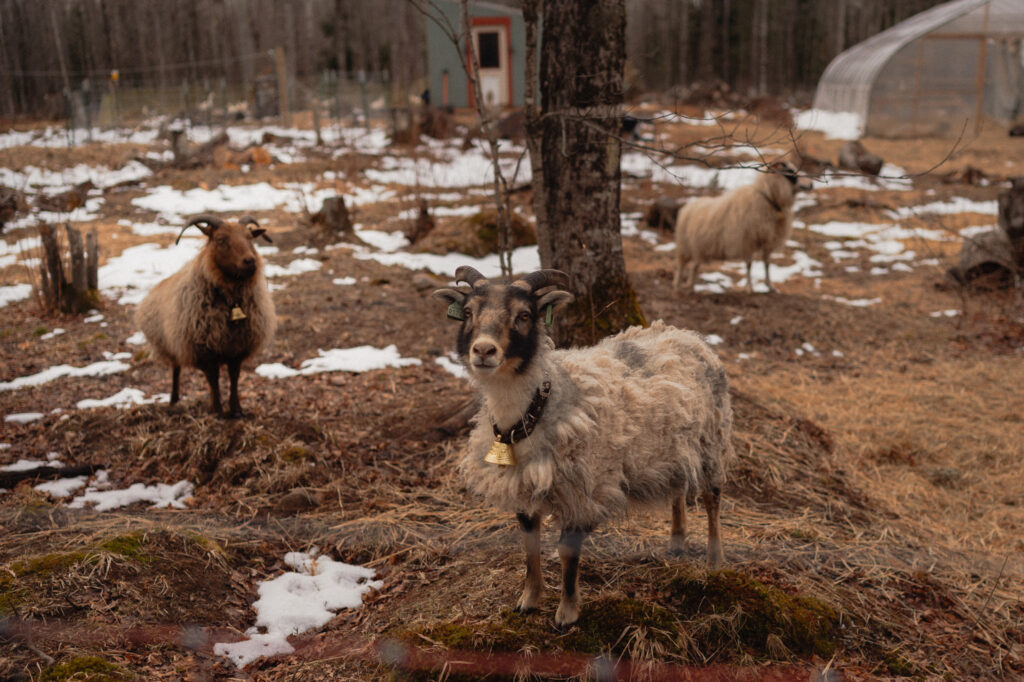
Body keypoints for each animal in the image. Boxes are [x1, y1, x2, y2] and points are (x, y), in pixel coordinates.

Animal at [138, 214, 280, 413]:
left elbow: (234, 378)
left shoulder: (238, 348)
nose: (250, 261)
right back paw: (174, 400)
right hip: (171, 344)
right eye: (220, 239)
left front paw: (236, 410)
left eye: (250, 237)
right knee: (176, 369)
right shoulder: (203, 350)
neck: (231, 301)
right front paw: (217, 410)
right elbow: (213, 380)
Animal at [432, 262, 737, 622]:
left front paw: (566, 613)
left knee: (712, 498)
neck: (536, 409)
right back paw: (676, 543)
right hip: (673, 444)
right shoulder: (524, 486)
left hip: (712, 440)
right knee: (678, 487)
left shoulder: (585, 490)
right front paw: (528, 600)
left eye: (524, 315)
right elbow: (529, 545)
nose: (483, 350)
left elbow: (567, 552)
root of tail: (686, 333)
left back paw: (715, 560)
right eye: (468, 312)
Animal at [671, 161, 806, 294]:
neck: (768, 199)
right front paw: (749, 288)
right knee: (681, 265)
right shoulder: (748, 240)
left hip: (698, 248)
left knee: (694, 267)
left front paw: (770, 286)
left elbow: (767, 263)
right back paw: (677, 285)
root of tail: (687, 206)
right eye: (790, 171)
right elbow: (749, 264)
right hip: (685, 245)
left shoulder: (768, 239)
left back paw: (691, 287)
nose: (809, 184)